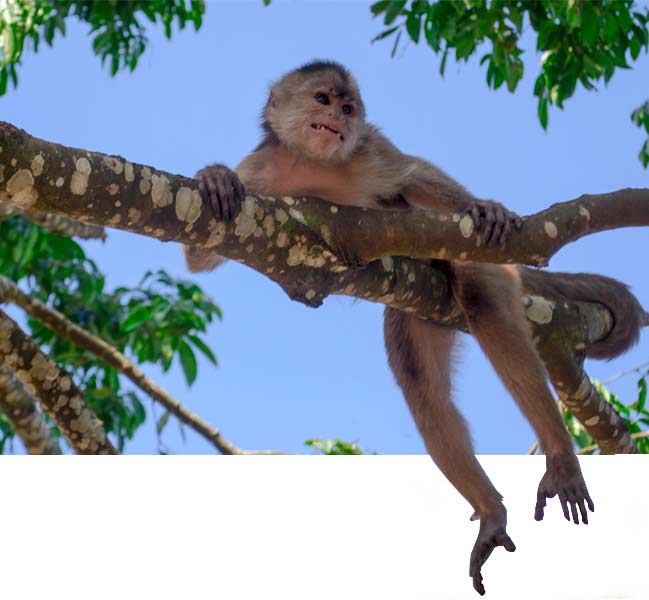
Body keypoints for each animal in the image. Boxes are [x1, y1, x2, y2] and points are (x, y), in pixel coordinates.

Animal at [183, 61, 646, 595]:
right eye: (323, 99)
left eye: (349, 108)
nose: (339, 119)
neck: (313, 163)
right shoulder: (262, 171)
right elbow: (201, 253)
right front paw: (215, 178)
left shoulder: (368, 152)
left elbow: (416, 176)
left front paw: (484, 208)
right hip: (417, 308)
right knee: (421, 384)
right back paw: (490, 509)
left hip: (481, 263)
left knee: (484, 299)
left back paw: (557, 452)